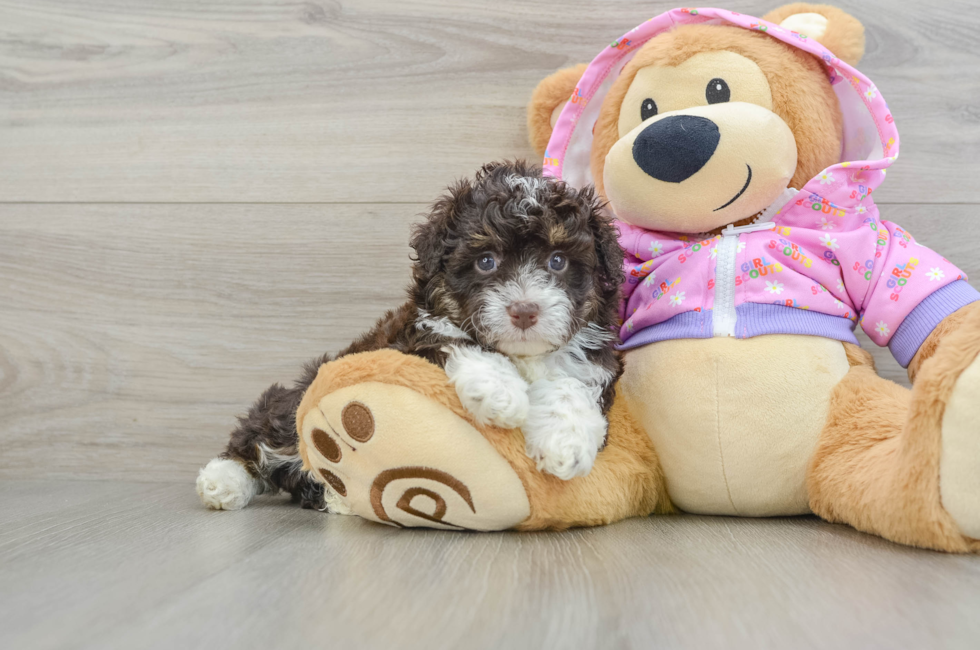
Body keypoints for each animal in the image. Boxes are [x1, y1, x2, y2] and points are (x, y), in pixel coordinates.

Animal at [198, 159, 624, 508]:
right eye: (486, 261)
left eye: (558, 260)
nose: (524, 310)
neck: (523, 356)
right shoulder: (417, 336)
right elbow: (460, 341)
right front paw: (502, 395)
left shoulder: (591, 360)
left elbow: (570, 385)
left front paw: (565, 445)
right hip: (302, 396)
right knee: (265, 432)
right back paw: (223, 481)